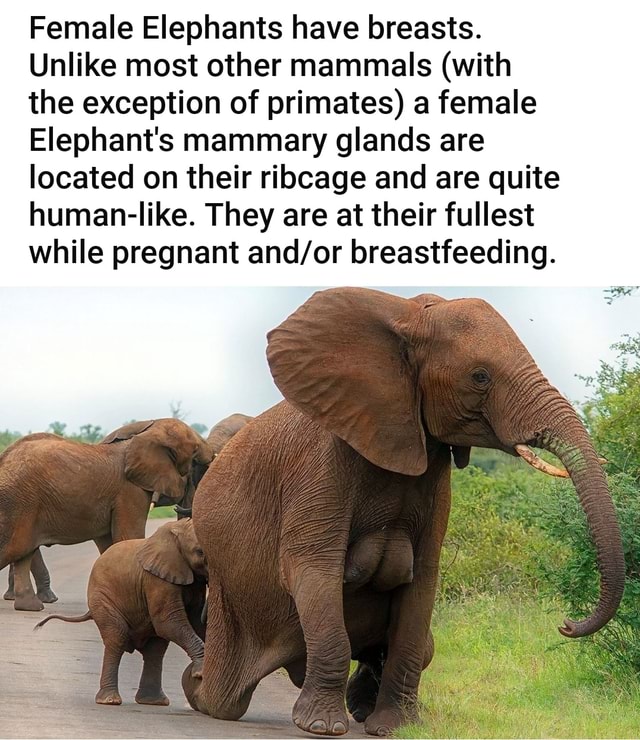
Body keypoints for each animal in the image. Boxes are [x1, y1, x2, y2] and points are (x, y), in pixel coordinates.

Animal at [0, 418, 213, 611]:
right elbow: (128, 536)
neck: (147, 433)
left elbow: (108, 544)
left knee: (24, 552)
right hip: (20, 502)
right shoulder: (129, 491)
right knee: (16, 548)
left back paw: (31, 607)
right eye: (195, 452)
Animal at [35, 518, 207, 707]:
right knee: (117, 638)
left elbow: (194, 621)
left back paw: (153, 701)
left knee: (155, 649)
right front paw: (200, 672)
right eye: (199, 551)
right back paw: (110, 700)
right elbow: (168, 622)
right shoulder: (156, 579)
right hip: (102, 600)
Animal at [184, 288, 625, 737]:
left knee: (422, 645)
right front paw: (321, 726)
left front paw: (393, 727)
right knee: (226, 695)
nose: (567, 624)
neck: (406, 317)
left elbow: (421, 591)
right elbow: (314, 570)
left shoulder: (435, 476)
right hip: (228, 592)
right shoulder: (319, 468)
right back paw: (200, 690)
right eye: (480, 377)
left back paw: (361, 705)